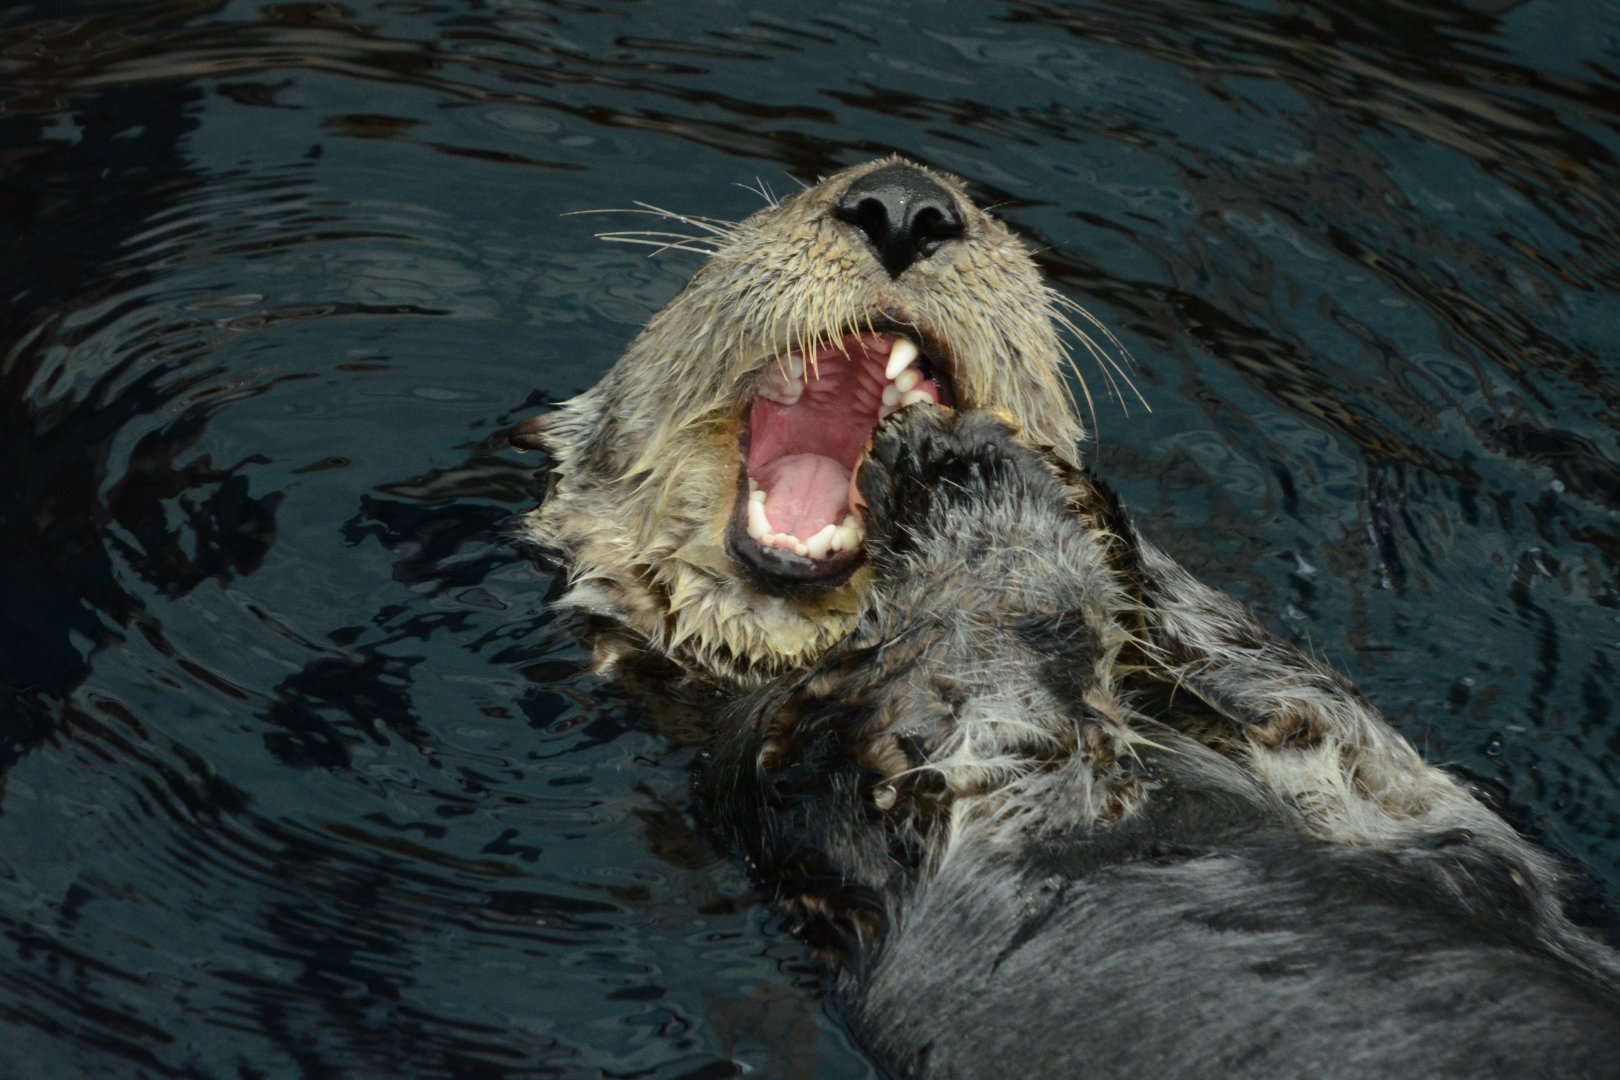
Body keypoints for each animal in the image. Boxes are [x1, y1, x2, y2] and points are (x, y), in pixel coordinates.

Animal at [699, 407, 1620, 1079]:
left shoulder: (1397, 802)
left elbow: (1320, 722)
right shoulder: (988, 783)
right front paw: (979, 486)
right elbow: (988, 654)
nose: (928, 440)